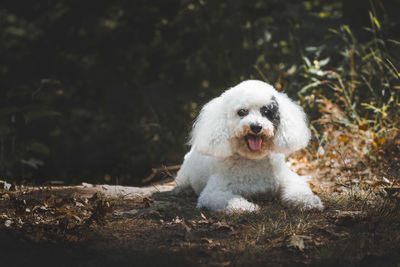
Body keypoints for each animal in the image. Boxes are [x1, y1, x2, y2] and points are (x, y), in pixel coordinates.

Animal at [174, 80, 322, 213]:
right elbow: (230, 200)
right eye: (242, 112)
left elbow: (298, 189)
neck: (253, 160)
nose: (256, 127)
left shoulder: (288, 178)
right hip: (184, 176)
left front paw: (308, 201)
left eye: (267, 112)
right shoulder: (213, 192)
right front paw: (248, 207)